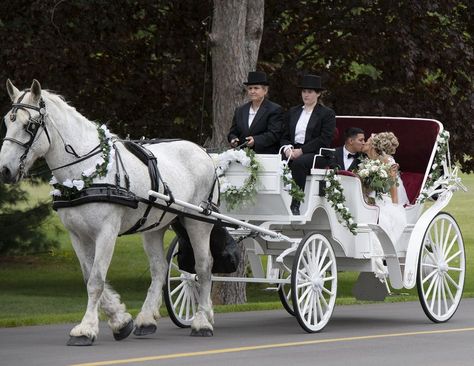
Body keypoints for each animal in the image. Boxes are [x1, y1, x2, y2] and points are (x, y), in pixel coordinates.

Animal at [0, 80, 215, 346]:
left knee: (203, 266)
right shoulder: (77, 235)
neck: (85, 171)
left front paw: (86, 330)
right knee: (159, 269)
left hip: (199, 222)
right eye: (7, 122)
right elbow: (88, 276)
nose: (5, 170)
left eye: (29, 125)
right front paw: (120, 321)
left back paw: (202, 321)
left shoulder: (107, 232)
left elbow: (96, 280)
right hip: (154, 227)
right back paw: (146, 320)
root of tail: (203, 151)